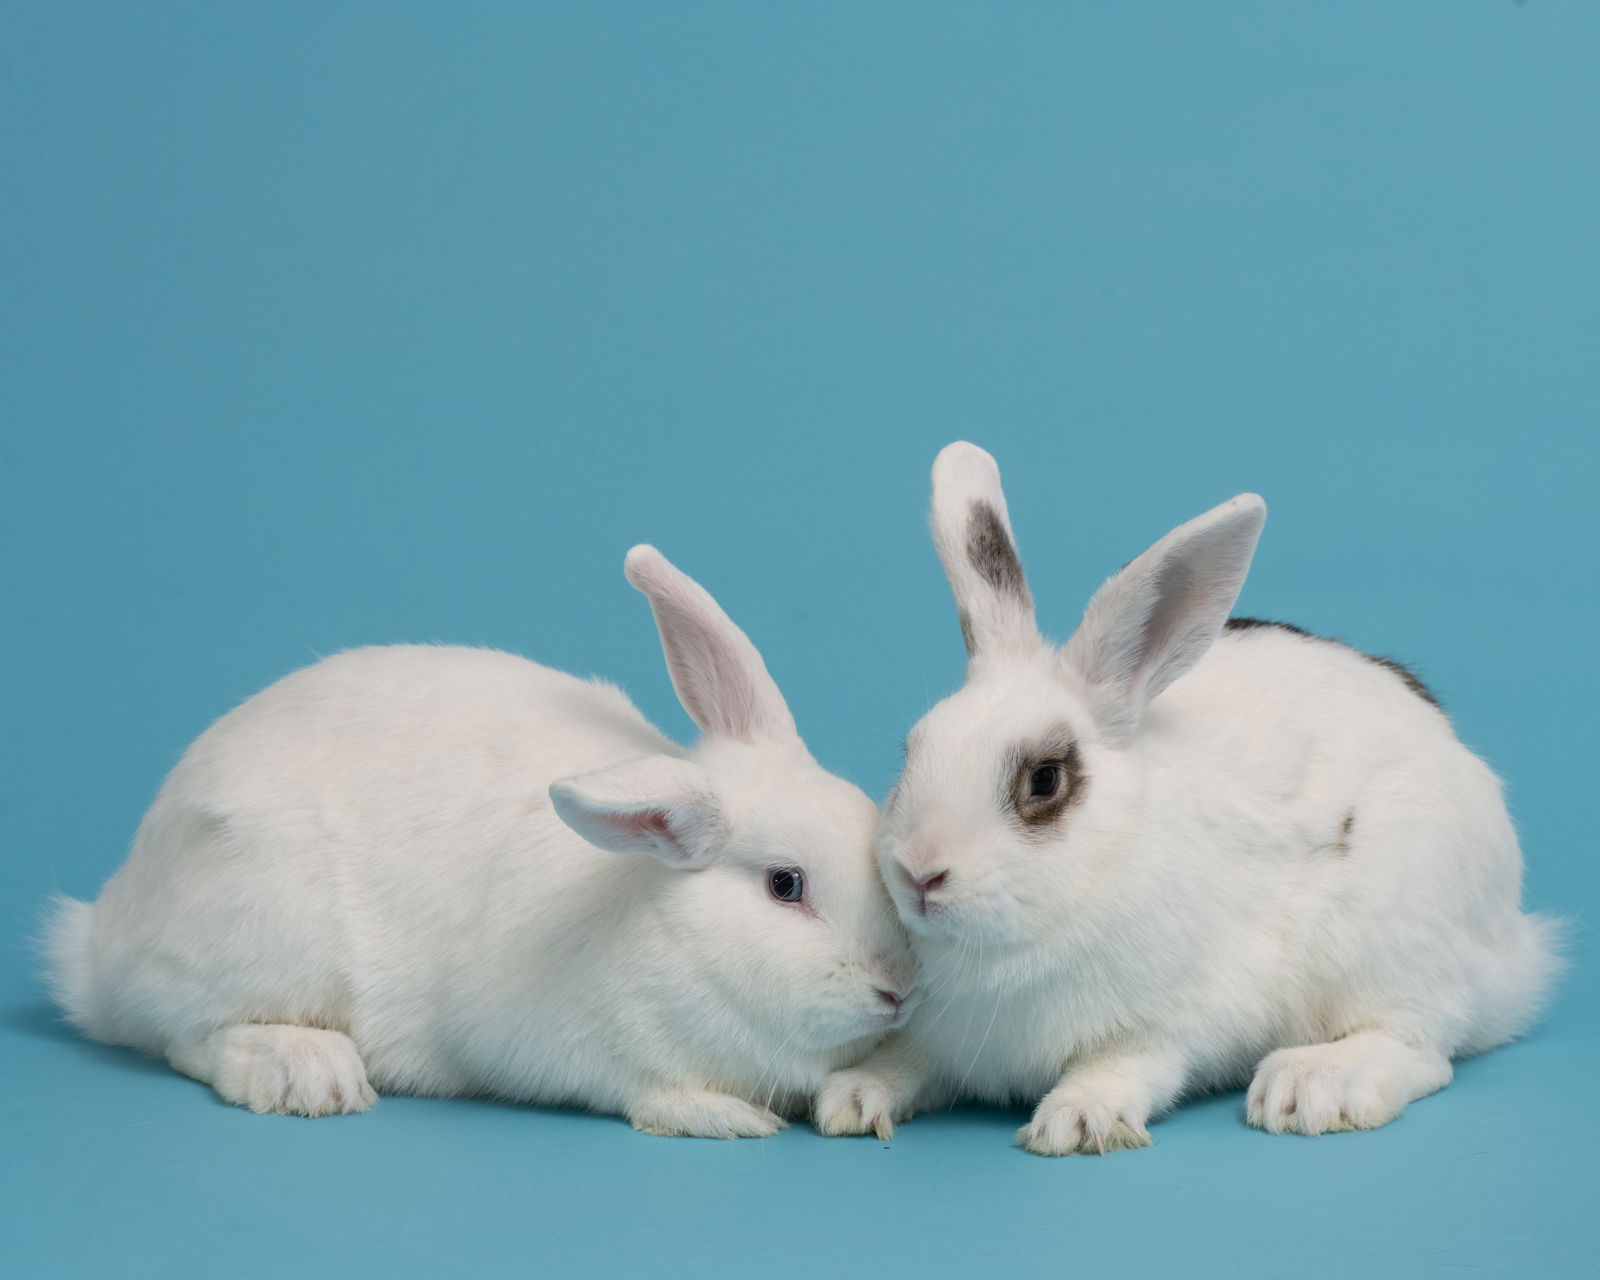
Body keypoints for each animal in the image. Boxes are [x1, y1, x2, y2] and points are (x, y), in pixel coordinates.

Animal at [46, 544, 915, 1132]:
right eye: (784, 885)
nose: (899, 991)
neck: (659, 915)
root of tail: (100, 939)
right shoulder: (576, 1048)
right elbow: (648, 1092)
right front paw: (728, 1117)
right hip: (253, 931)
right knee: (182, 1033)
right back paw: (310, 1074)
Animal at [819, 444, 1555, 1152]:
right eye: (911, 752)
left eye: (1046, 779)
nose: (919, 873)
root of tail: (1512, 943)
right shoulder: (939, 1039)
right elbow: (909, 1063)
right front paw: (850, 1098)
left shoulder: (1169, 1024)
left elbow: (1124, 1066)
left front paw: (1077, 1122)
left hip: (1393, 939)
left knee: (1423, 1048)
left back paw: (1309, 1088)